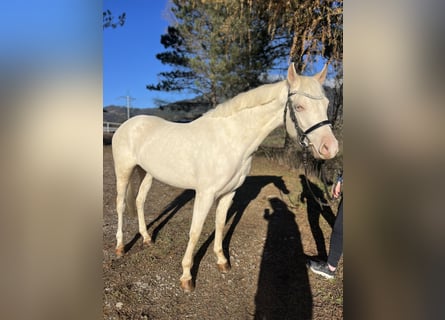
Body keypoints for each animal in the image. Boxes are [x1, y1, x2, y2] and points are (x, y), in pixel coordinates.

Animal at [110, 63, 336, 292]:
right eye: (299, 107)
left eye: (326, 104)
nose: (330, 148)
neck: (230, 139)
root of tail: (128, 124)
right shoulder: (205, 194)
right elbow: (195, 231)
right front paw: (186, 276)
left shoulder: (229, 193)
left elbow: (220, 224)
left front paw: (222, 261)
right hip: (123, 171)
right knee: (120, 205)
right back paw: (120, 247)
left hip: (146, 172)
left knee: (139, 201)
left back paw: (147, 238)